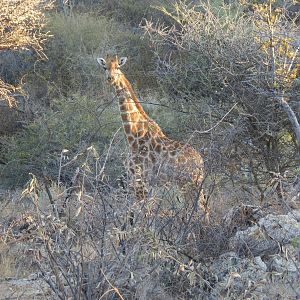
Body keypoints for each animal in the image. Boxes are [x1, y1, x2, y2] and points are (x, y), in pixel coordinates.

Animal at [97, 54, 207, 218]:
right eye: (105, 67)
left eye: (117, 67)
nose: (110, 78)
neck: (134, 135)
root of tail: (201, 161)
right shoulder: (147, 183)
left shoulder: (139, 179)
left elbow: (142, 214)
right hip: (189, 183)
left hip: (190, 181)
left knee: (202, 209)